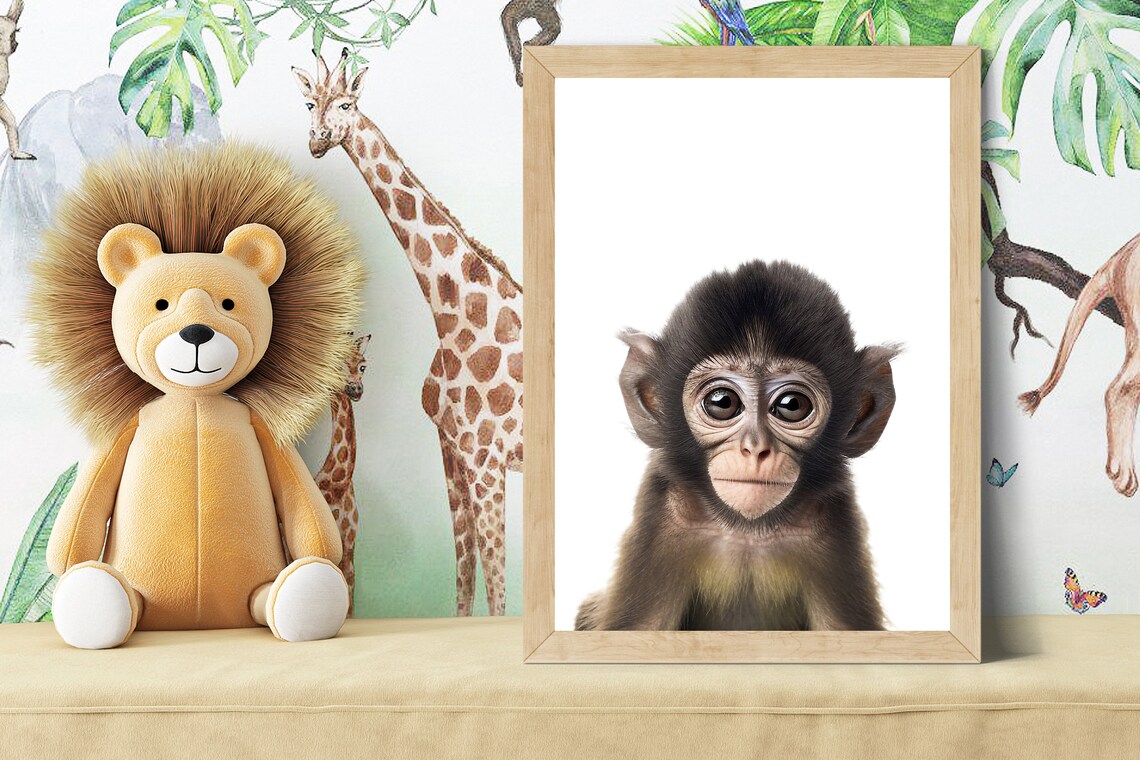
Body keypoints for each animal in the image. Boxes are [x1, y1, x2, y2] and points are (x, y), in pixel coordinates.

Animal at [574, 260, 899, 632]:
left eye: (792, 405)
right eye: (722, 402)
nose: (755, 449)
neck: (748, 532)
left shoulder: (834, 524)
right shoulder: (664, 516)